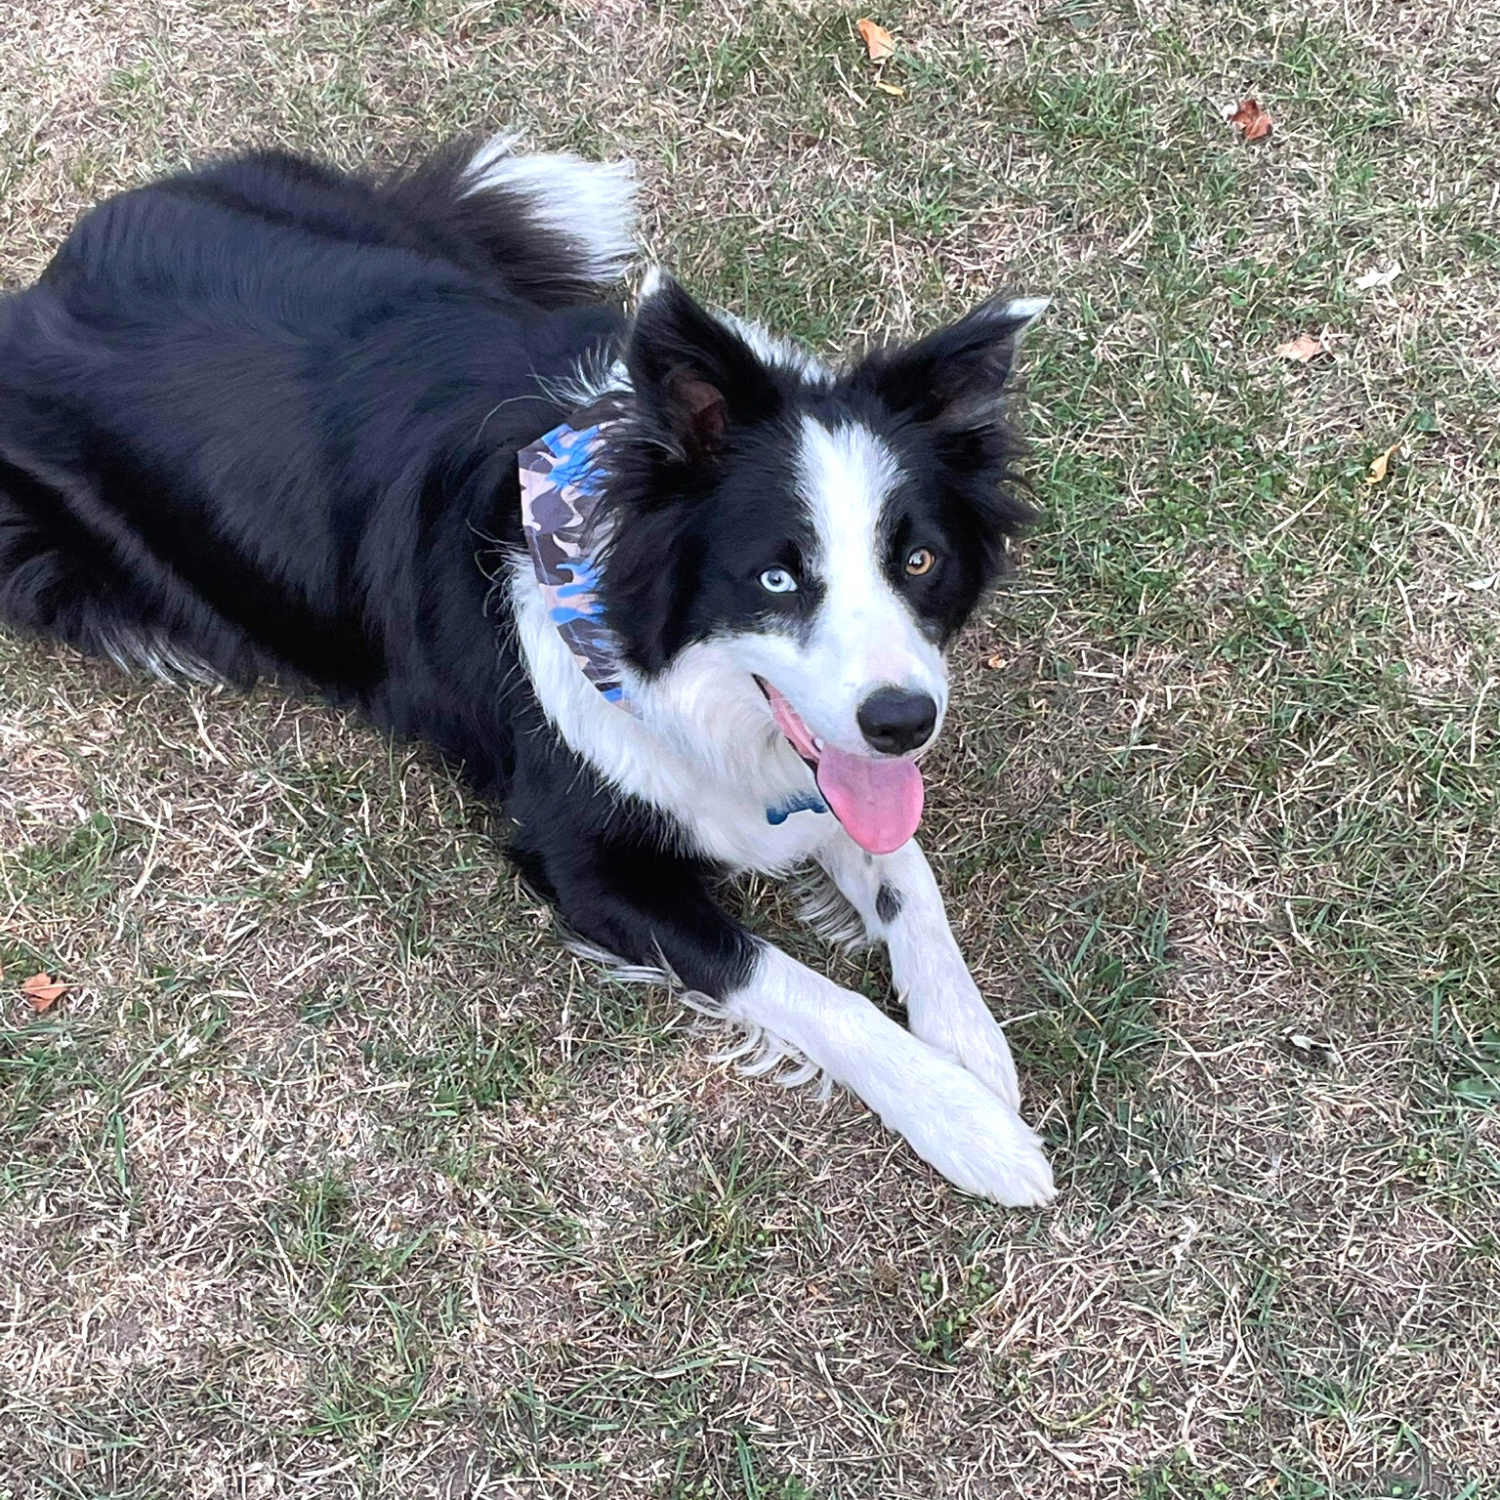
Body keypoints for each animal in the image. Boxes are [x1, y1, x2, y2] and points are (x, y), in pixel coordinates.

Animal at [0, 132, 1056, 1206]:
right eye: (776, 576)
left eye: (917, 561)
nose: (904, 721)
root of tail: (59, 273)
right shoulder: (584, 863)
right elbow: (790, 979)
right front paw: (966, 1121)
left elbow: (904, 874)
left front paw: (972, 1044)